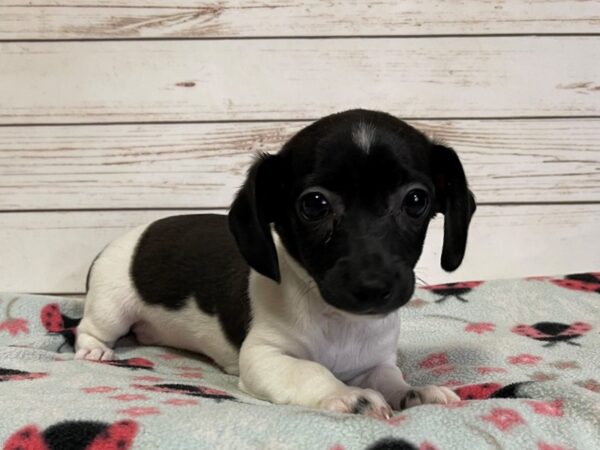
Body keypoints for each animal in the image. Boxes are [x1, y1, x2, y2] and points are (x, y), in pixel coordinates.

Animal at [75, 110, 476, 418]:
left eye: (416, 200)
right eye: (314, 204)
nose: (373, 286)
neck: (339, 324)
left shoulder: (375, 362)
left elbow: (389, 378)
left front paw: (413, 393)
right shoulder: (264, 357)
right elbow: (310, 371)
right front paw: (348, 396)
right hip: (111, 307)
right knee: (91, 327)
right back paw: (94, 348)